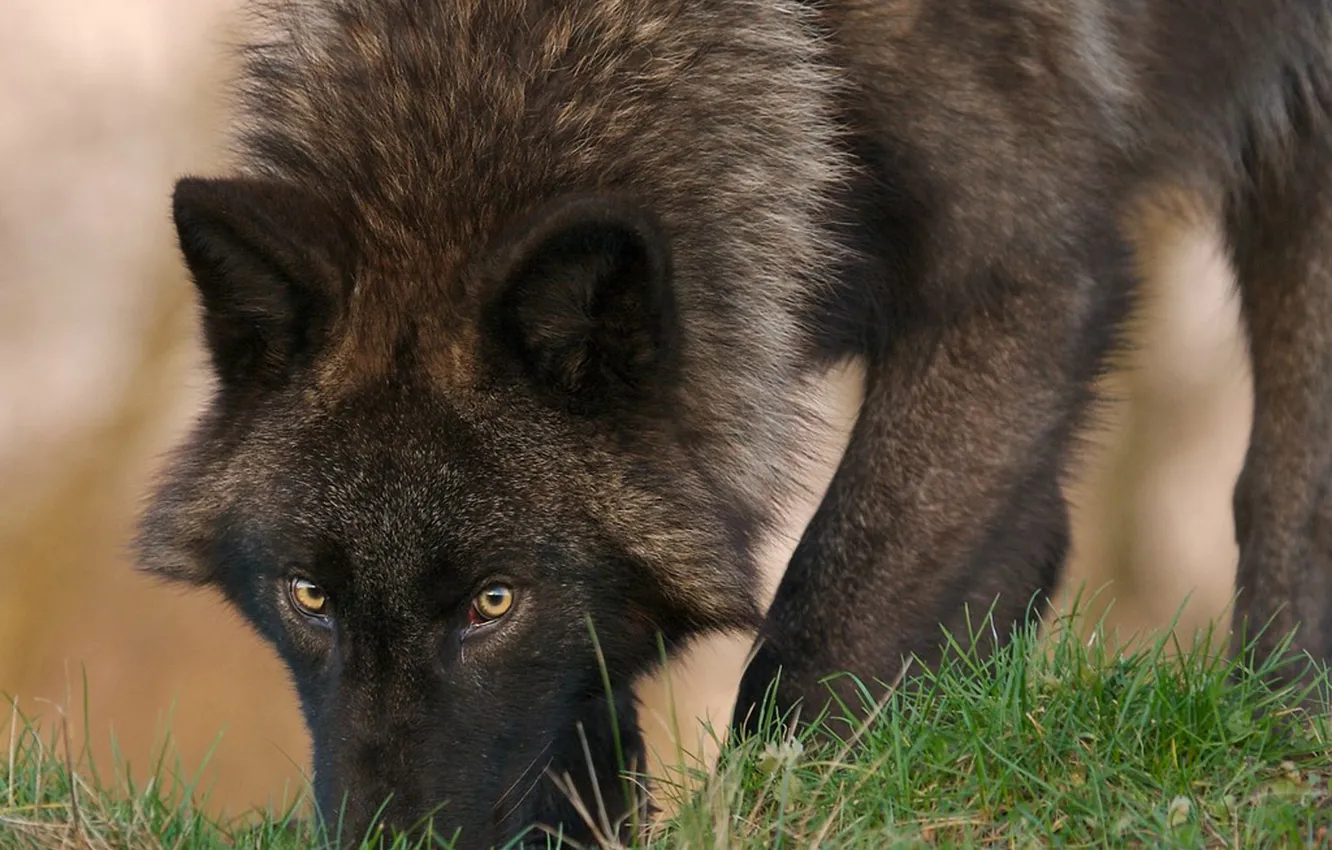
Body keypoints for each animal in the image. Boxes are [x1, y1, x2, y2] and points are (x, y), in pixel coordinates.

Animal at [136, 0, 1332, 846]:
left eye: (493, 601)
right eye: (309, 597)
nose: (387, 842)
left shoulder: (1018, 281)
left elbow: (819, 642)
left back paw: (1282, 722)